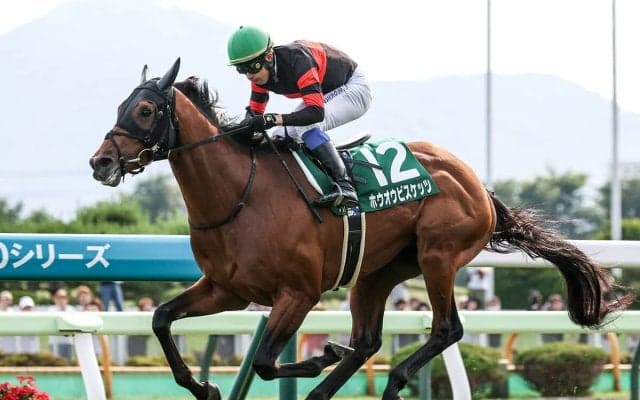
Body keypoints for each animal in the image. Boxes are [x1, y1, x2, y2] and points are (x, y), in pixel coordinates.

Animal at [89, 58, 634, 400]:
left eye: (144, 110)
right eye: (118, 107)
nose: (101, 162)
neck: (238, 195)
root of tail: (478, 185)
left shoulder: (299, 292)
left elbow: (265, 361)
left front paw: (321, 355)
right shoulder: (228, 289)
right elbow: (162, 319)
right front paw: (205, 385)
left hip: (438, 255)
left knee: (447, 328)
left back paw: (390, 380)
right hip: (376, 273)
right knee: (370, 340)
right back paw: (327, 390)